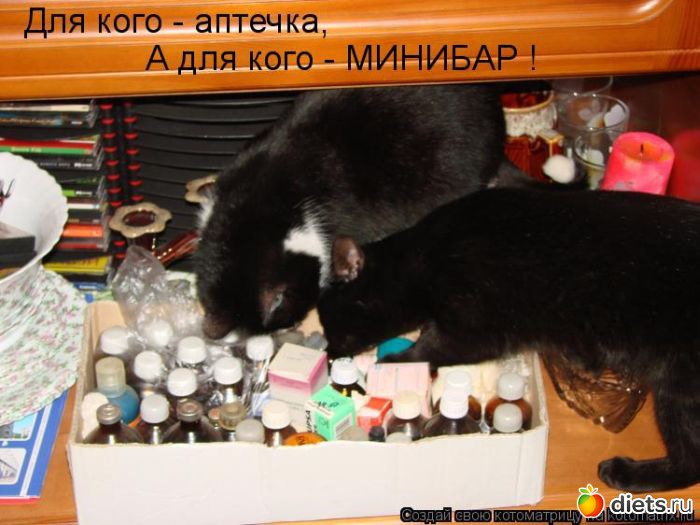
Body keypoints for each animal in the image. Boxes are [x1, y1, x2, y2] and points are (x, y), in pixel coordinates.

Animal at [318, 186, 700, 493]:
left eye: (330, 323)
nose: (331, 358)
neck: (425, 259)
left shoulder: (473, 330)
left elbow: (426, 349)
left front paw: (390, 365)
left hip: (678, 389)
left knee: (690, 460)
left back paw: (627, 474)